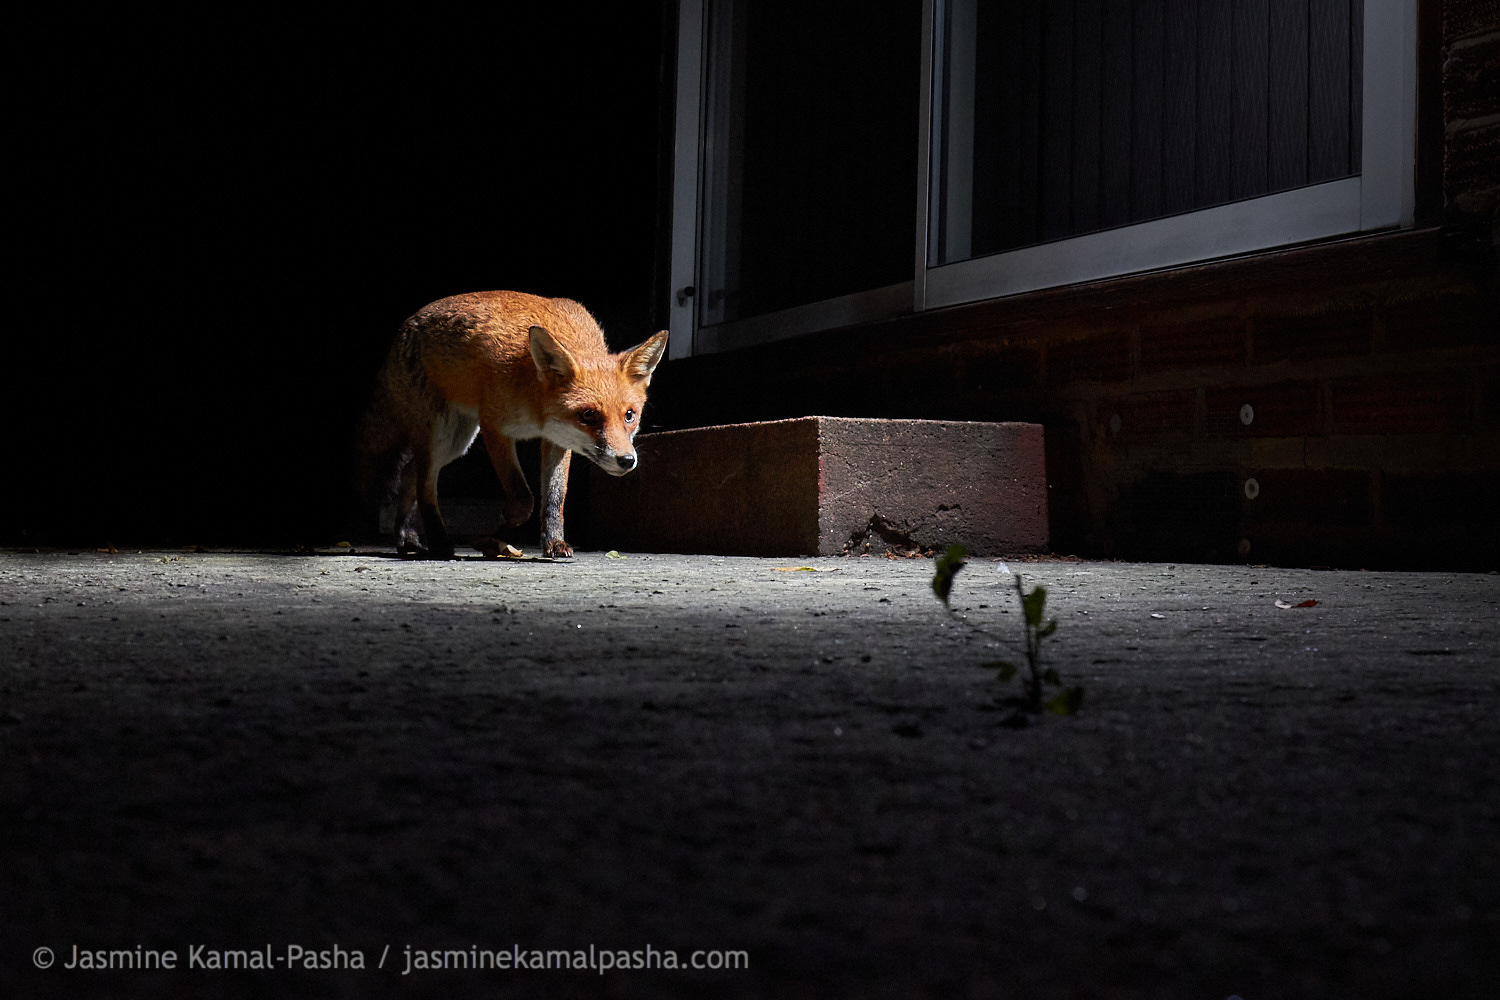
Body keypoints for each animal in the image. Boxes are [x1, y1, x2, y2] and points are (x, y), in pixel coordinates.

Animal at [355, 290, 668, 559]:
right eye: (589, 415)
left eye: (629, 415)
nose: (626, 460)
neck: (535, 404)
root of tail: (405, 327)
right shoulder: (495, 428)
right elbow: (523, 498)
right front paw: (497, 532)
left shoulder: (558, 439)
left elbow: (555, 496)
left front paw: (553, 542)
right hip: (442, 434)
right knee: (425, 484)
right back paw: (439, 543)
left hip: (457, 440)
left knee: (411, 473)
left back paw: (406, 537)